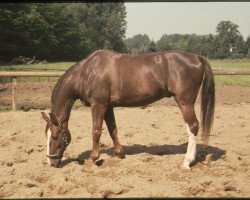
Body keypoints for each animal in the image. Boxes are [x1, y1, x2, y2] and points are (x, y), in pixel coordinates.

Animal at [41, 49, 215, 169]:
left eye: (55, 136)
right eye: (47, 135)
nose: (51, 161)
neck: (87, 72)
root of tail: (197, 58)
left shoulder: (98, 105)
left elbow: (96, 131)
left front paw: (92, 158)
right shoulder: (108, 106)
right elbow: (113, 130)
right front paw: (118, 155)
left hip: (185, 102)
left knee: (193, 126)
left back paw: (187, 162)